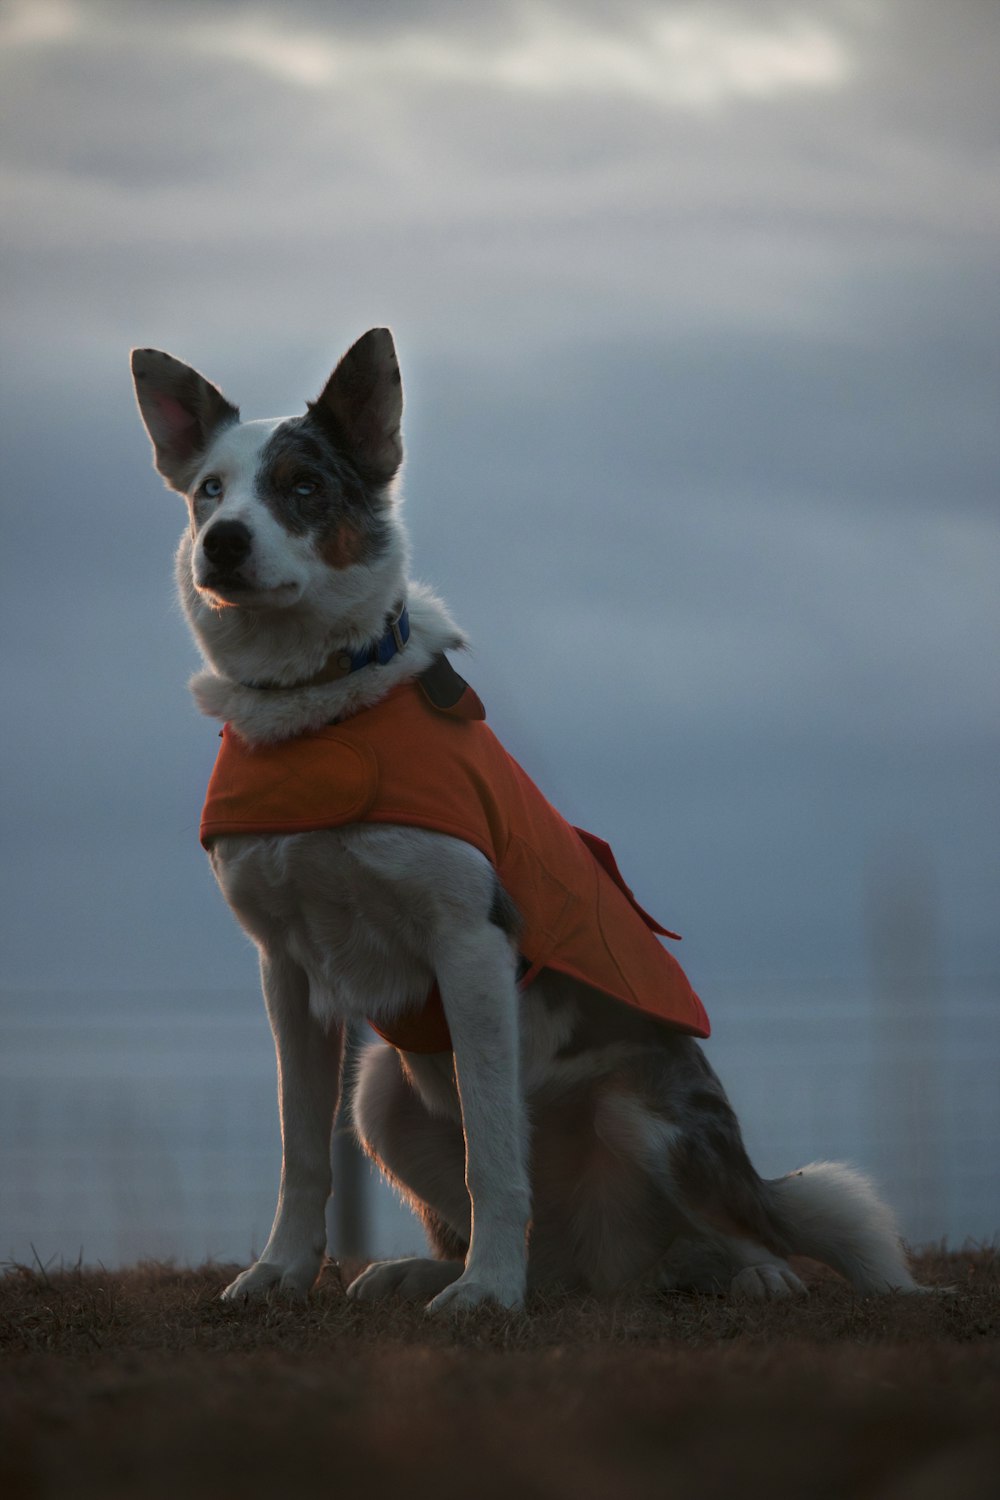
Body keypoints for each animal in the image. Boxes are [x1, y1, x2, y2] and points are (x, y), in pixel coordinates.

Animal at [131, 328, 923, 1314]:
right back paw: (435, 1271)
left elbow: (497, 1155)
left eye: (302, 485)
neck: (321, 709)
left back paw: (747, 1273)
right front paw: (281, 1272)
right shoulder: (287, 969)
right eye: (209, 488)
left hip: (646, 1109)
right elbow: (301, 1152)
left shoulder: (471, 943)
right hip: (381, 1094)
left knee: (739, 1224)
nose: (223, 541)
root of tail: (599, 1268)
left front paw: (488, 1292)